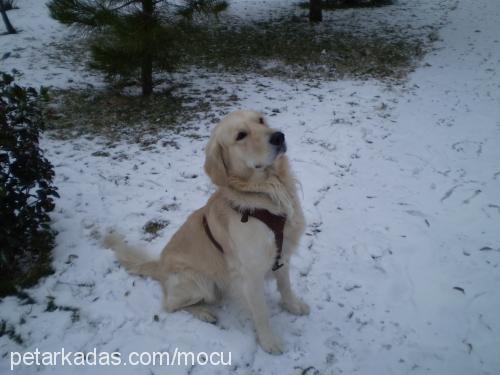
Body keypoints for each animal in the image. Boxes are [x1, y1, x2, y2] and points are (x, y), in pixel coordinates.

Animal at [104, 110, 308, 354]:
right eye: (241, 135)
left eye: (260, 120)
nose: (279, 136)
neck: (267, 193)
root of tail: (159, 266)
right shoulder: (250, 273)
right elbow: (261, 313)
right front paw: (269, 342)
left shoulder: (282, 254)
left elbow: (286, 286)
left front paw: (293, 306)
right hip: (201, 283)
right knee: (170, 304)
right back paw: (203, 313)